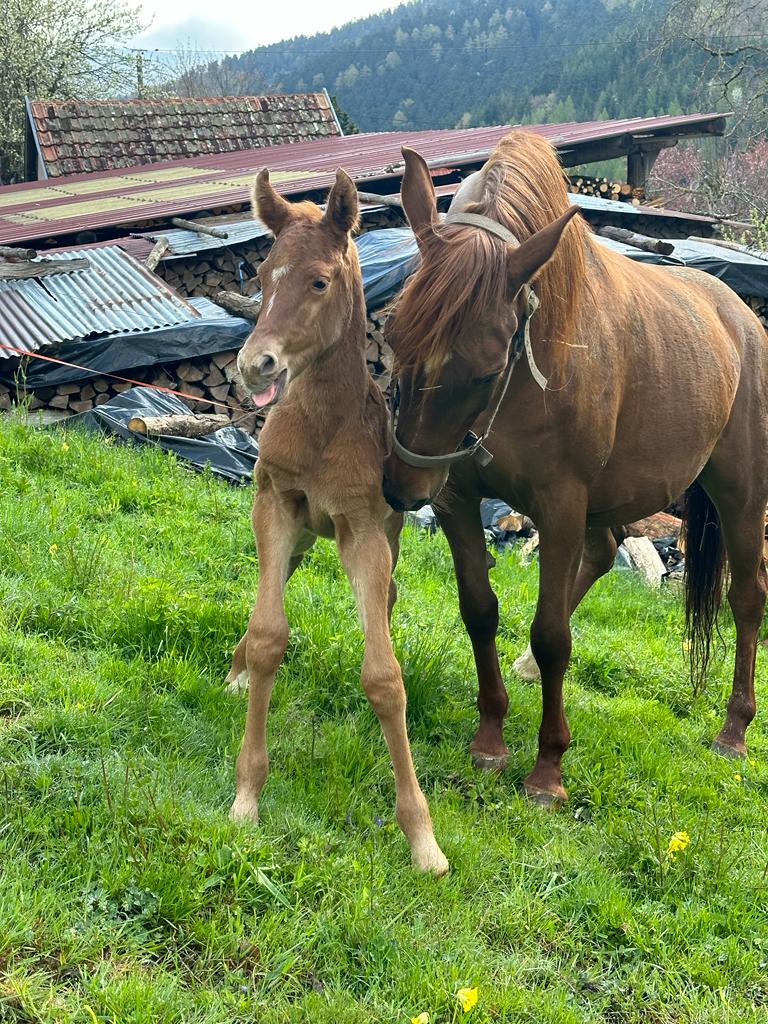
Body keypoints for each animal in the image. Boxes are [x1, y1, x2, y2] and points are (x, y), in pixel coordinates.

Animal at [226, 167, 449, 876]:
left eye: (320, 281)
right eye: (262, 273)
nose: (255, 365)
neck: (323, 425)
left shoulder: (363, 533)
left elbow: (384, 675)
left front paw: (422, 838)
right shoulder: (275, 504)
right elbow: (268, 635)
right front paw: (247, 795)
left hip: (386, 541)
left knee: (390, 599)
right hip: (296, 538)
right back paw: (234, 673)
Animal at [381, 131, 768, 805]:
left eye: (485, 370)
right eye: (394, 332)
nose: (405, 487)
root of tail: (743, 320)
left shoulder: (560, 503)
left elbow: (552, 636)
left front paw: (547, 771)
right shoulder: (460, 497)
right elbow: (480, 610)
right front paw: (490, 738)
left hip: (740, 495)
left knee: (746, 598)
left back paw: (734, 730)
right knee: (603, 553)